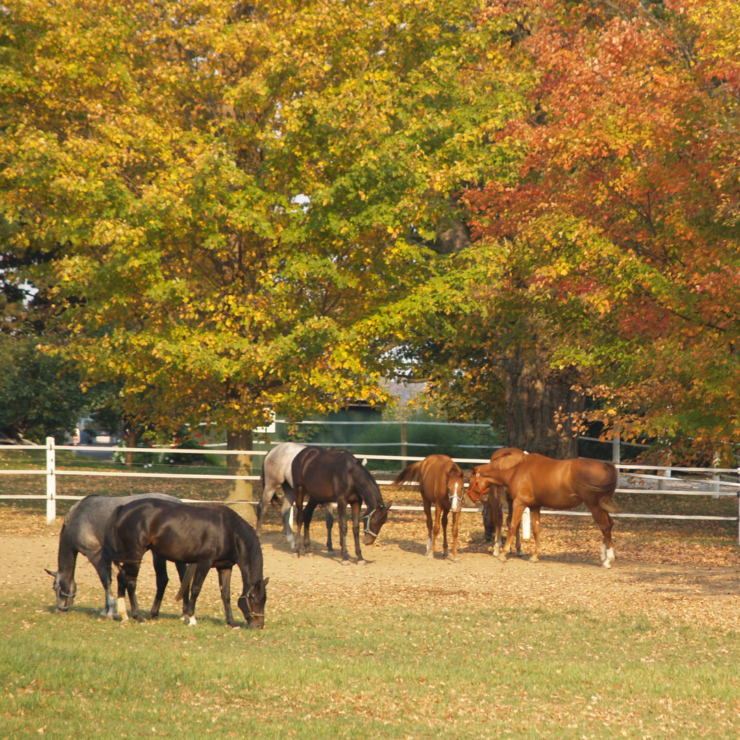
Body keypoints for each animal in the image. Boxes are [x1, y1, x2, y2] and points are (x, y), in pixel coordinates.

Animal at [44, 493, 187, 619]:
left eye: (56, 587)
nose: (59, 610)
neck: (77, 519)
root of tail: (179, 503)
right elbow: (109, 580)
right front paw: (106, 610)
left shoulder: (96, 555)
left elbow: (105, 581)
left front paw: (110, 611)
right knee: (180, 578)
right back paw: (183, 615)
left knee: (163, 579)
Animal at [102, 499, 268, 628]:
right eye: (254, 598)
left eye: (264, 599)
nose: (259, 625)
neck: (229, 530)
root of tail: (123, 509)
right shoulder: (204, 562)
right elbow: (196, 589)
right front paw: (192, 619)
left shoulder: (224, 567)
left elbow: (225, 594)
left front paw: (232, 623)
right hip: (135, 554)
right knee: (130, 583)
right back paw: (138, 617)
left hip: (127, 556)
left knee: (121, 578)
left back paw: (124, 616)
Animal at [474, 449, 618, 567]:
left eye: (472, 480)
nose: (472, 496)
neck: (517, 469)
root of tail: (606, 466)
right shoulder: (534, 506)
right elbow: (536, 529)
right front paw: (535, 556)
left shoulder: (518, 503)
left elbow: (512, 525)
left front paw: (503, 554)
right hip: (600, 506)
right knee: (609, 525)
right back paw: (604, 556)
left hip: (594, 506)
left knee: (605, 526)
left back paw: (608, 560)